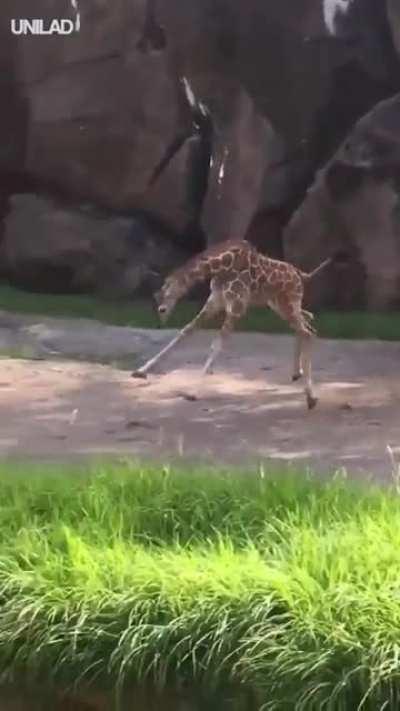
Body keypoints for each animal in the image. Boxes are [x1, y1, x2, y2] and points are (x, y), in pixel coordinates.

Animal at [132, 240, 342, 409]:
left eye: (161, 309)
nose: (161, 320)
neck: (221, 267)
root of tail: (301, 275)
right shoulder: (214, 302)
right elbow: (185, 332)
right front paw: (140, 371)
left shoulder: (236, 307)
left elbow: (217, 344)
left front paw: (193, 392)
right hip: (280, 305)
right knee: (307, 324)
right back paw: (296, 374)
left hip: (288, 304)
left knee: (307, 332)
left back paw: (311, 397)